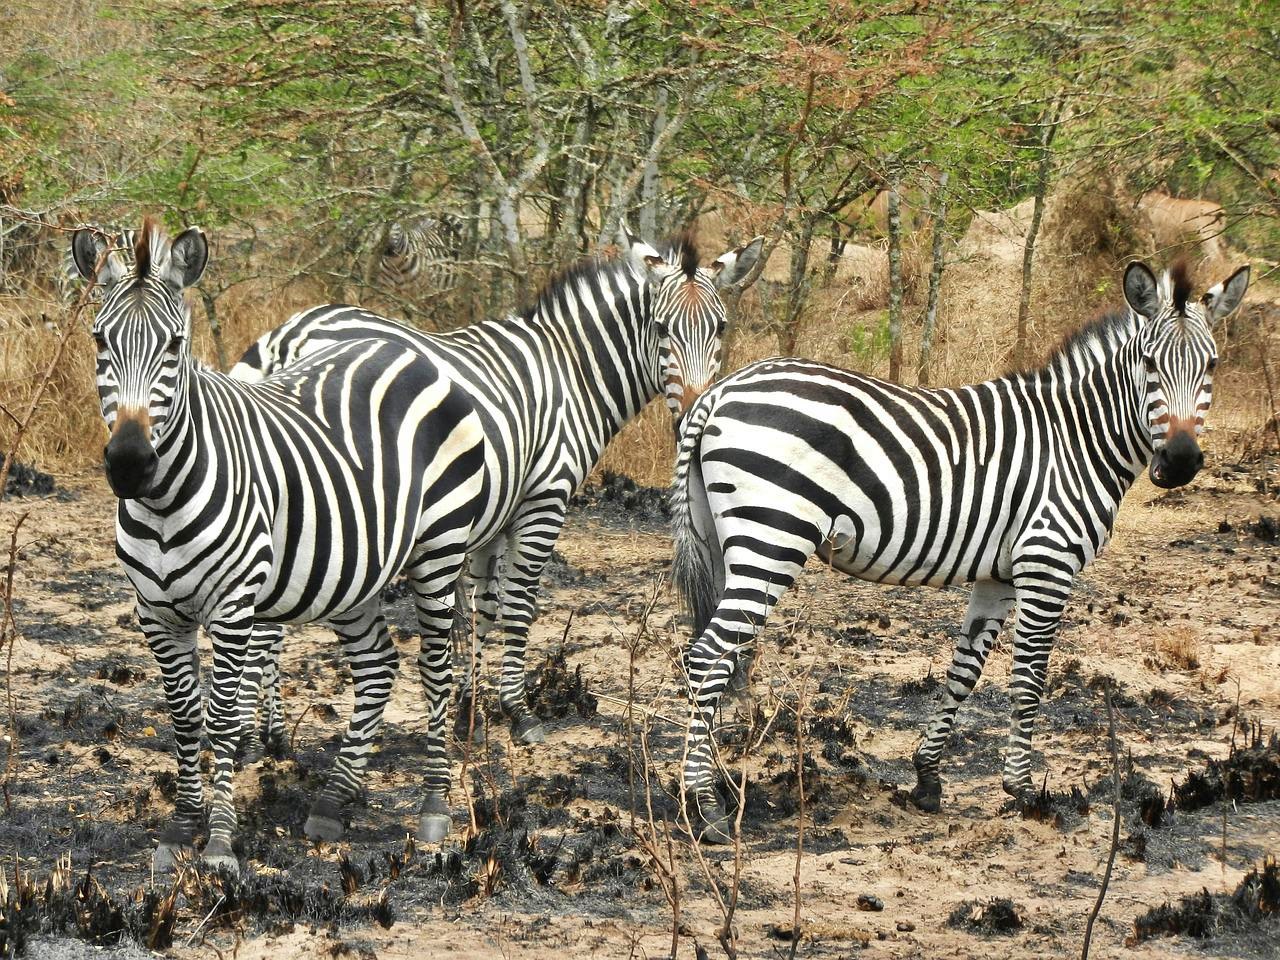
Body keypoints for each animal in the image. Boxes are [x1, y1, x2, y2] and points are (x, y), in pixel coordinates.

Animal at [72, 217, 486, 870]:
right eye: (99, 341)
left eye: (175, 347)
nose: (131, 464)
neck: (162, 504)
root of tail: (404, 344)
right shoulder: (155, 612)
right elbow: (184, 719)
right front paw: (179, 828)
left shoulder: (234, 604)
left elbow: (220, 719)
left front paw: (218, 843)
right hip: (354, 569)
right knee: (378, 665)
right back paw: (333, 804)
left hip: (439, 549)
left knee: (435, 667)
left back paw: (434, 808)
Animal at [234, 225, 757, 742]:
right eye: (661, 328)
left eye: (721, 327)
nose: (690, 415)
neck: (570, 372)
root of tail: (288, 336)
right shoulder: (544, 499)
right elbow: (518, 604)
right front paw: (518, 711)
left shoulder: (494, 512)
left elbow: (484, 606)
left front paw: (471, 710)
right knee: (264, 627)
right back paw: (255, 740)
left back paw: (269, 731)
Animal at [670, 257, 1249, 839]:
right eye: (1149, 364)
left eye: (1212, 365)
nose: (1180, 462)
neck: (1077, 438)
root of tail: (719, 392)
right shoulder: (1047, 561)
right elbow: (1029, 681)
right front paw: (1021, 791)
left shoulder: (1000, 574)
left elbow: (964, 670)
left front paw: (927, 778)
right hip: (772, 536)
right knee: (708, 654)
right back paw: (705, 806)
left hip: (724, 539)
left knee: (712, 654)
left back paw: (717, 783)